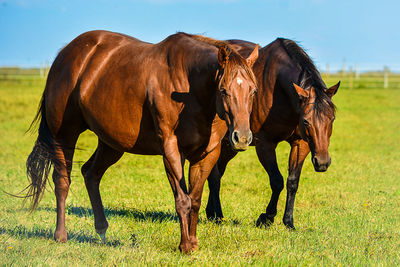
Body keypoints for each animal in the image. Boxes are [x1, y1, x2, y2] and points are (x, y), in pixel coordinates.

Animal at [25, 30, 260, 253]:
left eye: (253, 90)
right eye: (224, 90)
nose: (242, 137)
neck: (190, 89)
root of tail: (65, 54)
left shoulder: (207, 154)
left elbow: (194, 200)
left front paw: (193, 244)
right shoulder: (171, 150)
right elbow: (182, 200)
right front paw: (184, 246)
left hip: (111, 144)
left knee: (91, 174)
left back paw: (101, 231)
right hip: (64, 135)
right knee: (62, 180)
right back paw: (61, 235)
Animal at [206, 37, 340, 230]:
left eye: (332, 119)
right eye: (306, 121)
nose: (322, 162)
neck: (279, 90)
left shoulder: (301, 143)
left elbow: (292, 182)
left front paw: (288, 221)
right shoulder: (265, 144)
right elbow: (277, 181)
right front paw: (267, 217)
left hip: (230, 146)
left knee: (217, 172)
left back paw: (211, 213)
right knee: (214, 176)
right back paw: (217, 216)